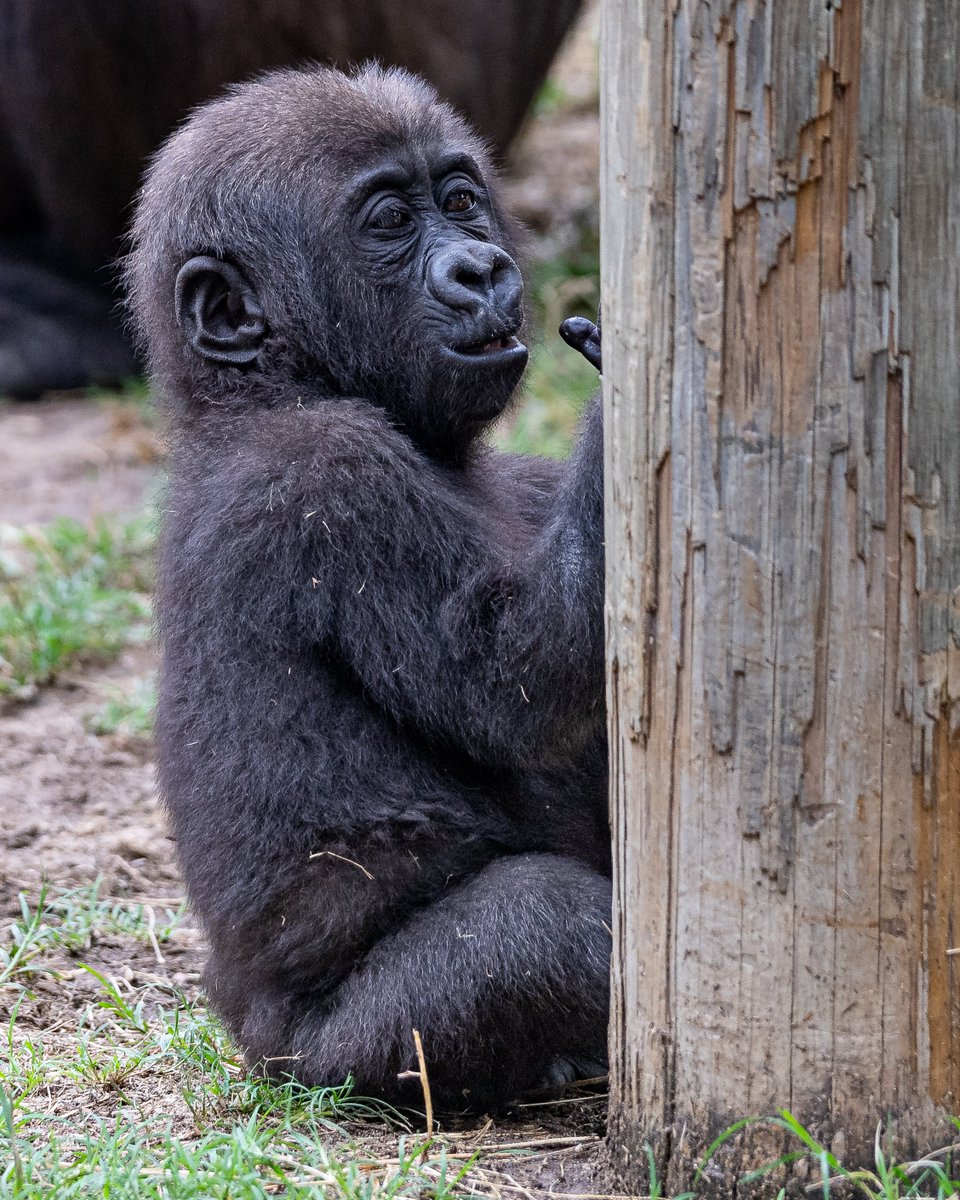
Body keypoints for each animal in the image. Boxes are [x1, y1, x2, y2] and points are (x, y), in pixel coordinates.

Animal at [125, 64, 608, 1110]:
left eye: (461, 201)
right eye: (389, 221)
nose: (480, 269)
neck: (268, 385)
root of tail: (258, 1052)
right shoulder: (326, 476)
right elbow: (512, 681)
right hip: (335, 1060)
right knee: (540, 929)